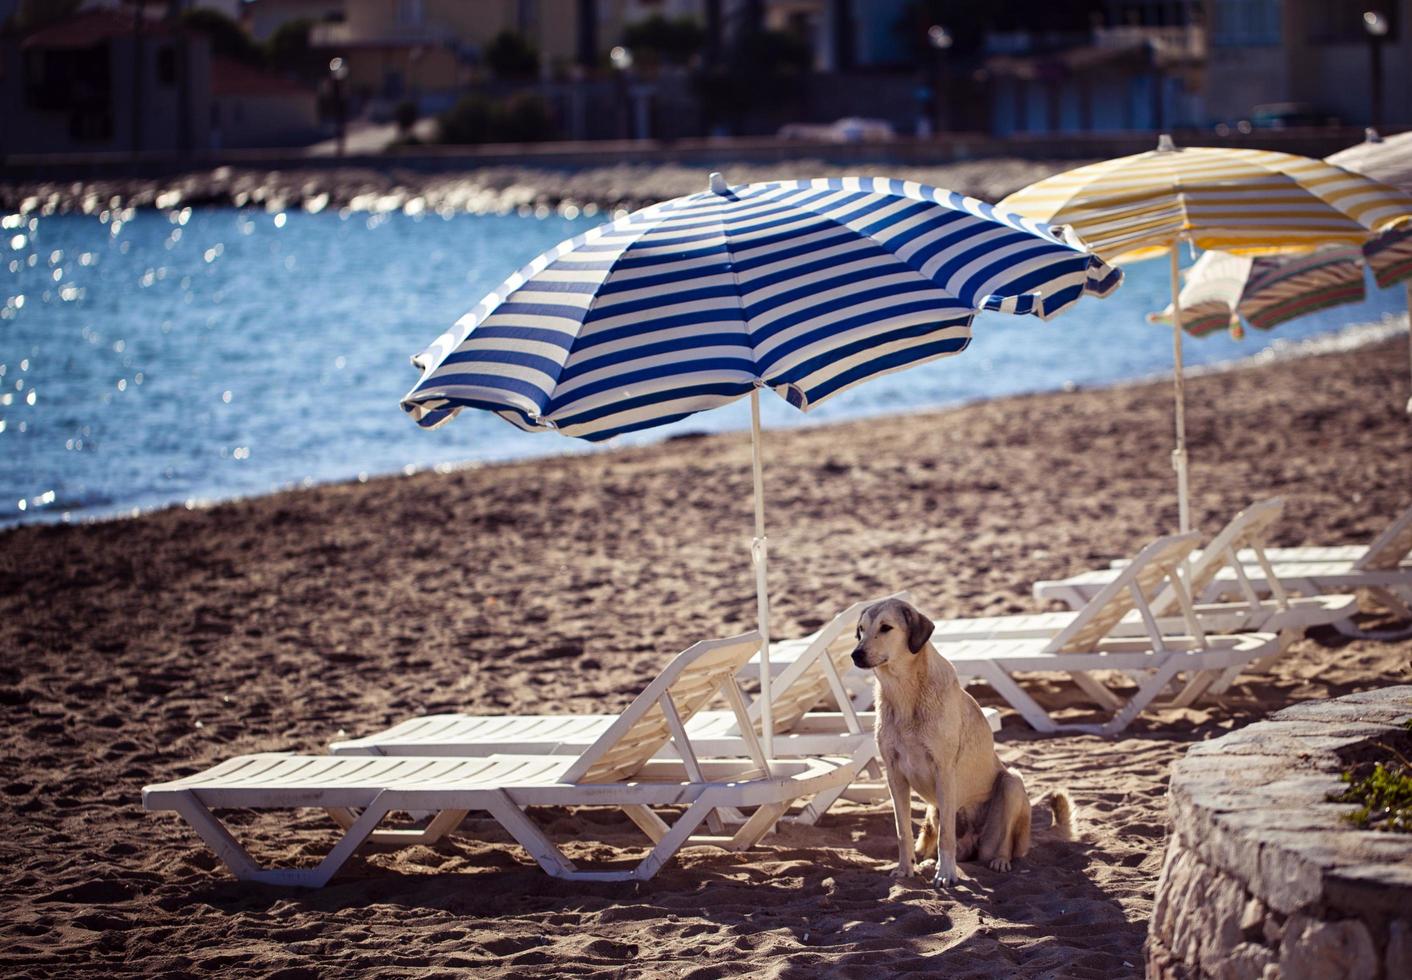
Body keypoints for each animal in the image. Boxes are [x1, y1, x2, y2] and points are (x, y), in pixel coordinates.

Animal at [847, 598, 1067, 892]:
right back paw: (928, 862)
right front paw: (905, 869)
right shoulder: (895, 776)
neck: (905, 692)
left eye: (886, 628)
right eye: (861, 629)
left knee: (1004, 843)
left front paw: (946, 874)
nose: (855, 655)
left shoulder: (944, 771)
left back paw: (998, 861)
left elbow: (946, 838)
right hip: (935, 811)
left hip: (1011, 785)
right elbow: (902, 830)